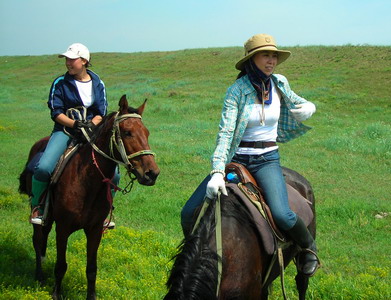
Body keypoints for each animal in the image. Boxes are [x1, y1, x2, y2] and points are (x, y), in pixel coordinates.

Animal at [19, 95, 160, 300]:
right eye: (127, 133)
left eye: (147, 133)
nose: (152, 173)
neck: (86, 181)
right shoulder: (63, 228)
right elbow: (61, 266)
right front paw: (56, 293)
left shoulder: (94, 230)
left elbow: (92, 268)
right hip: (38, 212)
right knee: (38, 239)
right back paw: (39, 276)